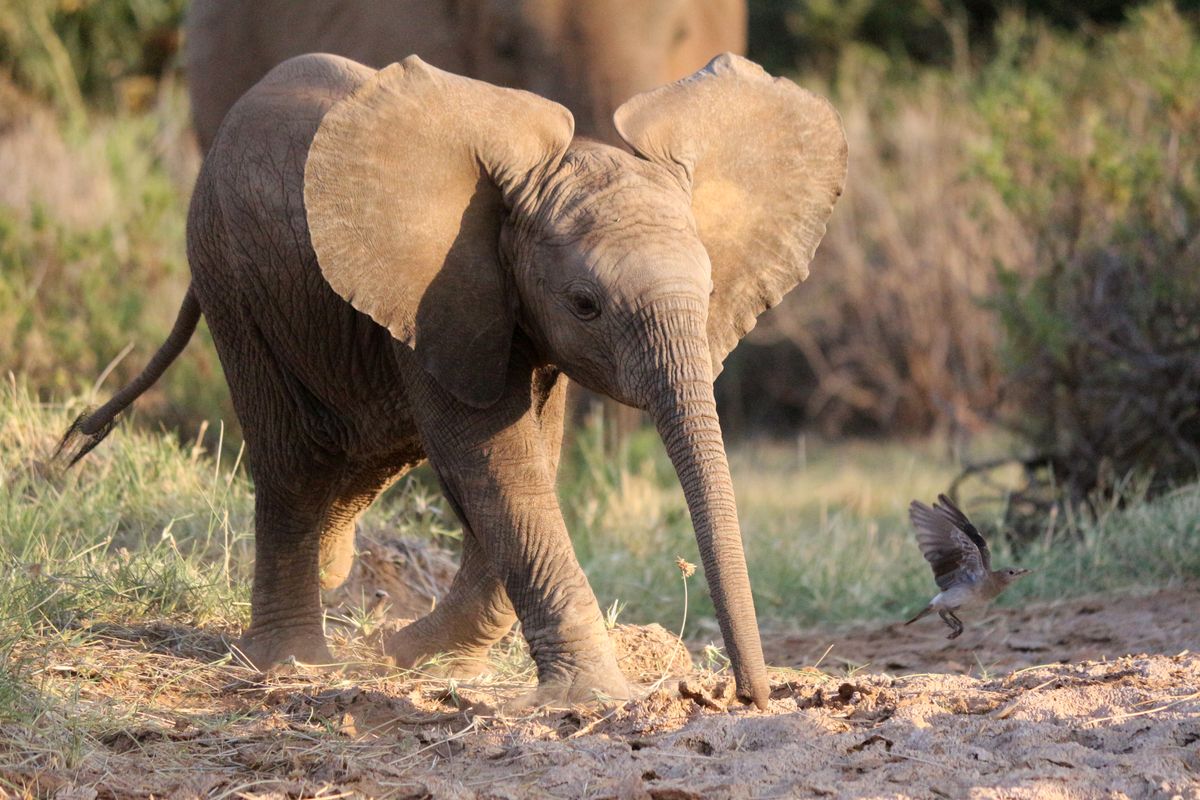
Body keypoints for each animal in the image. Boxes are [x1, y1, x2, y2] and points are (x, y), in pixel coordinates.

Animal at [58, 52, 846, 708]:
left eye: (711, 293)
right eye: (585, 304)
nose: (749, 698)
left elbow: (525, 465)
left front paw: (413, 656)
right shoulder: (438, 294)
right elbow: (497, 464)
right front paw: (593, 701)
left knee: (362, 451)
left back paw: (339, 579)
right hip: (232, 281)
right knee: (293, 460)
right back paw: (293, 661)